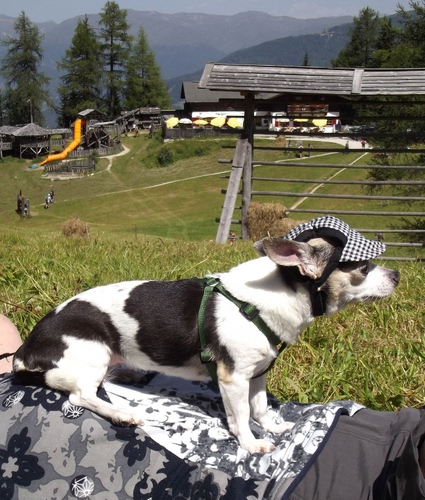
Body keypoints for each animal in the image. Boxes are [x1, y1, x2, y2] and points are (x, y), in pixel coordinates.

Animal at [13, 217, 400, 453]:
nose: (397, 274)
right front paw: (251, 444)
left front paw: (272, 427)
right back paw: (121, 414)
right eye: (364, 268)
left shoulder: (257, 374)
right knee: (82, 396)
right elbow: (240, 417)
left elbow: (260, 408)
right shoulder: (233, 379)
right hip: (92, 353)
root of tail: (25, 351)